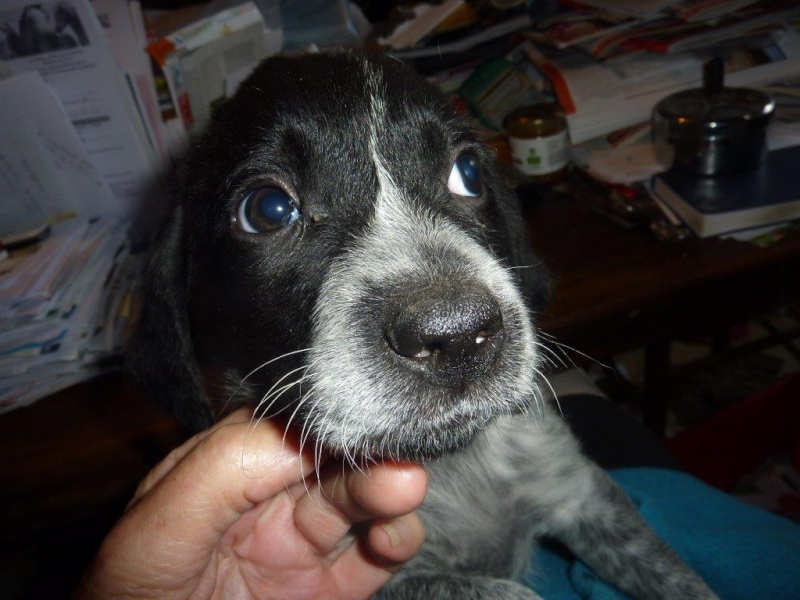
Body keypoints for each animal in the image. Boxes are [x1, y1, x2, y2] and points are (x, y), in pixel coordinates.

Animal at [130, 51, 720, 600]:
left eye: (470, 172)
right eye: (268, 209)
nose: (457, 335)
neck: (452, 467)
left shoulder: (585, 495)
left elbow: (683, 581)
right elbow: (512, 593)